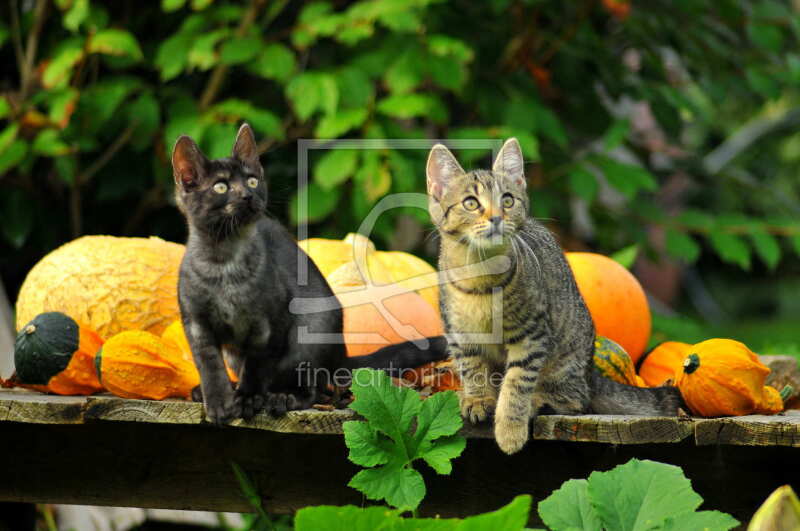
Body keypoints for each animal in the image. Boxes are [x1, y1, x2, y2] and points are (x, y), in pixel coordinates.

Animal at [173, 123, 446, 424]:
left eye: (252, 181)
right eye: (220, 186)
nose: (247, 195)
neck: (223, 261)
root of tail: (341, 351)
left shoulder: (269, 325)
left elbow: (257, 367)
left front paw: (248, 398)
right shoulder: (197, 324)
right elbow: (210, 367)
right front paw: (219, 402)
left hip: (310, 331)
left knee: (311, 387)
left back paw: (282, 397)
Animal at [424, 139, 680, 456]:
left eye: (507, 200)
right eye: (471, 203)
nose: (496, 217)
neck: (481, 273)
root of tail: (589, 372)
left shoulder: (531, 335)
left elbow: (517, 382)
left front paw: (510, 429)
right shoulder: (460, 334)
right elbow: (472, 368)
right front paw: (477, 398)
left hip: (565, 360)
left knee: (576, 400)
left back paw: (539, 401)